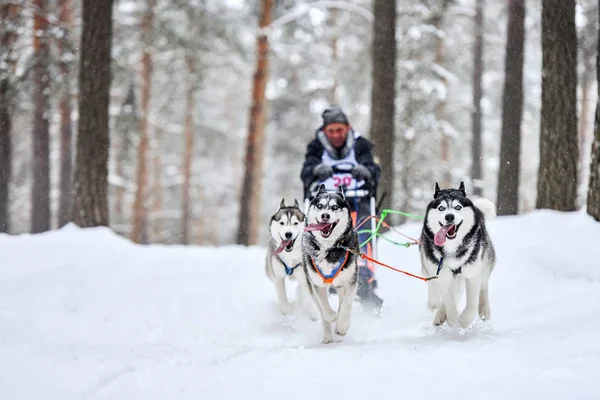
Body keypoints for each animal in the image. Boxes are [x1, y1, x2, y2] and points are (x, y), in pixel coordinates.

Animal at [302, 184, 358, 344]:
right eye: (320, 206)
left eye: (334, 207)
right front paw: (333, 317)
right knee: (321, 313)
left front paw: (342, 326)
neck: (329, 248)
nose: (325, 215)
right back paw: (327, 335)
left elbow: (347, 304)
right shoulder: (317, 285)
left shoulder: (350, 281)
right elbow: (325, 309)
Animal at [418, 183, 496, 330]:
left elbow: (472, 304)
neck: (452, 247)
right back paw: (440, 315)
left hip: (484, 262)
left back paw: (484, 309)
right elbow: (449, 300)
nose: (449, 216)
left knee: (483, 286)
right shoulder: (442, 275)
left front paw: (464, 321)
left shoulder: (472, 274)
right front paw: (453, 319)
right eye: (441, 208)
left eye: (458, 207)